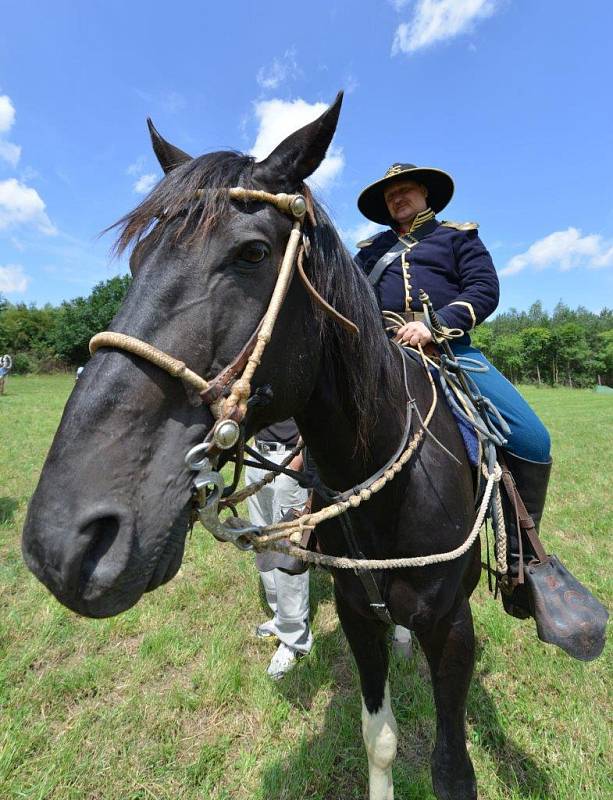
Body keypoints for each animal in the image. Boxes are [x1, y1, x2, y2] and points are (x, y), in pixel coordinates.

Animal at [22, 95, 482, 800]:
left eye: (253, 252)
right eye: (136, 261)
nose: (62, 541)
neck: (387, 482)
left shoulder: (456, 631)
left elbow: (452, 768)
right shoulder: (358, 618)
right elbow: (378, 738)